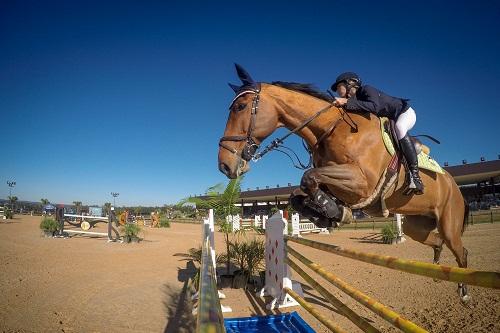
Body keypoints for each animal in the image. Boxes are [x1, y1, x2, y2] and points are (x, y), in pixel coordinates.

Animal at [217, 63, 470, 302]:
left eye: (240, 107)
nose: (224, 165)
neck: (332, 128)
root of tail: (454, 186)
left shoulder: (362, 182)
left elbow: (308, 177)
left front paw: (334, 212)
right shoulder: (336, 181)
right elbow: (299, 194)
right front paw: (330, 214)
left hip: (449, 222)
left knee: (461, 251)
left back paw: (465, 292)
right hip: (415, 225)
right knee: (437, 242)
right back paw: (439, 270)